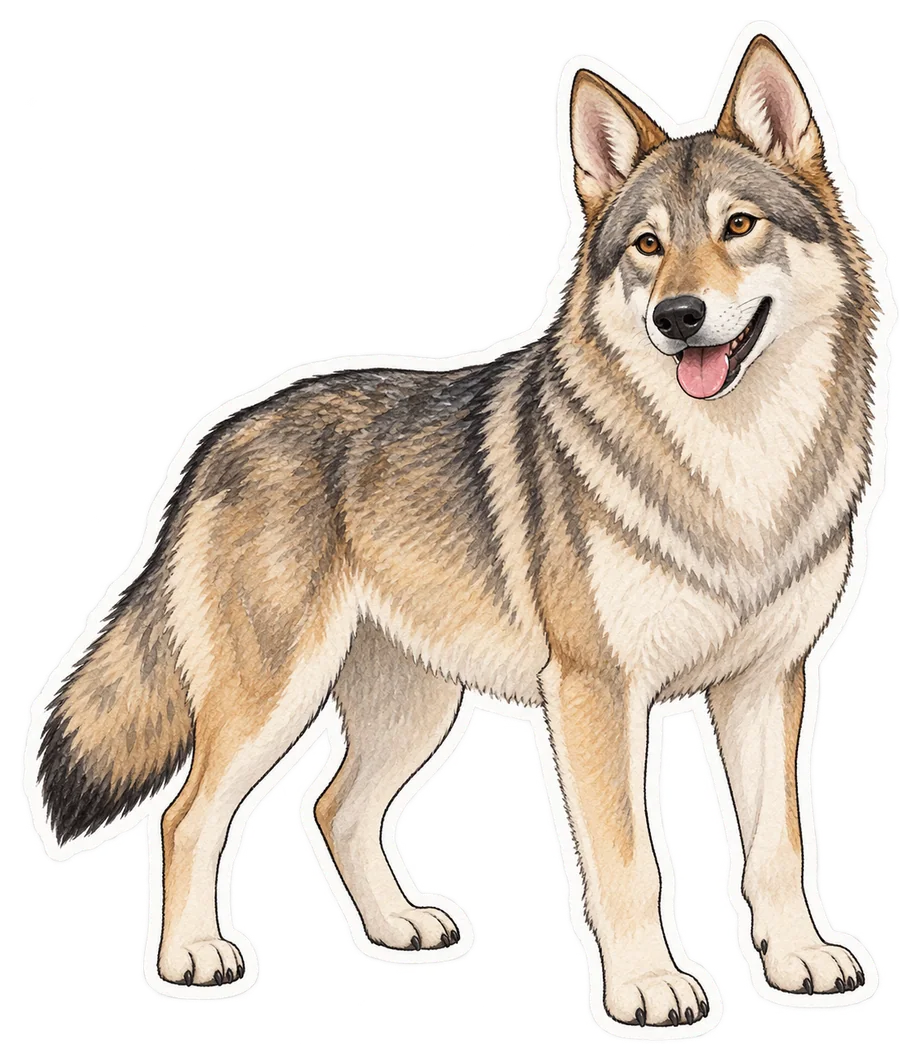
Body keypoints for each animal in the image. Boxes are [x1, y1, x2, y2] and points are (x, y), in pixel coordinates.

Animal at [24, 33, 880, 1027]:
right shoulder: (597, 694)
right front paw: (646, 987)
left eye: (739, 227)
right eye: (648, 247)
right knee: (187, 815)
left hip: (416, 705)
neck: (737, 469)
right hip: (273, 697)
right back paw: (192, 958)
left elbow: (779, 846)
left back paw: (398, 928)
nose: (678, 316)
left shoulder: (767, 684)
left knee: (332, 808)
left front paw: (800, 961)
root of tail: (215, 443)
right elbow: (630, 860)